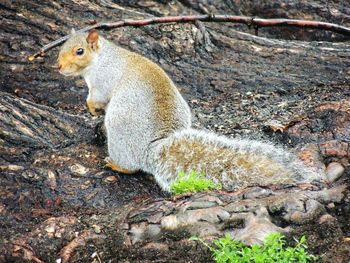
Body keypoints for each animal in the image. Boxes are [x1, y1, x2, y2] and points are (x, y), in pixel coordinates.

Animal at [58, 30, 326, 192]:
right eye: (62, 46)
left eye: (79, 51)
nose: (58, 66)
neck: (102, 58)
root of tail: (151, 149)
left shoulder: (102, 82)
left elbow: (97, 98)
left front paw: (91, 108)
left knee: (131, 166)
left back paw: (116, 164)